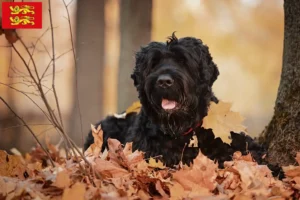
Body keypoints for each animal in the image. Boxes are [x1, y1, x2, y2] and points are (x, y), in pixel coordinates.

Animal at [85, 33, 284, 177]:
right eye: (154, 63)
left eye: (183, 61)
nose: (164, 81)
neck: (182, 131)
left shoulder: (235, 140)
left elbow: (251, 155)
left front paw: (275, 172)